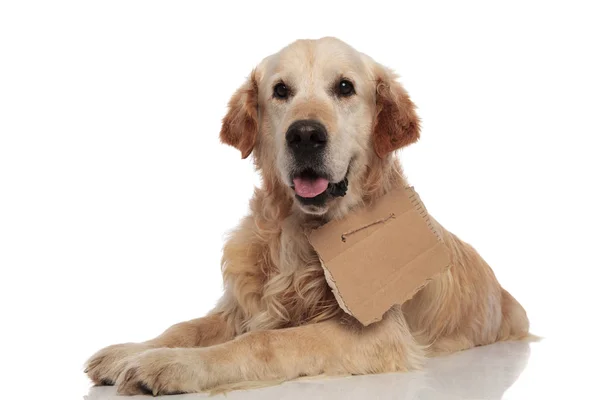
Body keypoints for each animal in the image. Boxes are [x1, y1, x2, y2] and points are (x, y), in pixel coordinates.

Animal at [85, 38, 528, 396]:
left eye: (345, 87)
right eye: (281, 90)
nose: (305, 135)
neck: (300, 233)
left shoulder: (380, 334)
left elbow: (265, 342)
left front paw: (172, 364)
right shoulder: (240, 306)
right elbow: (188, 327)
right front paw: (130, 351)